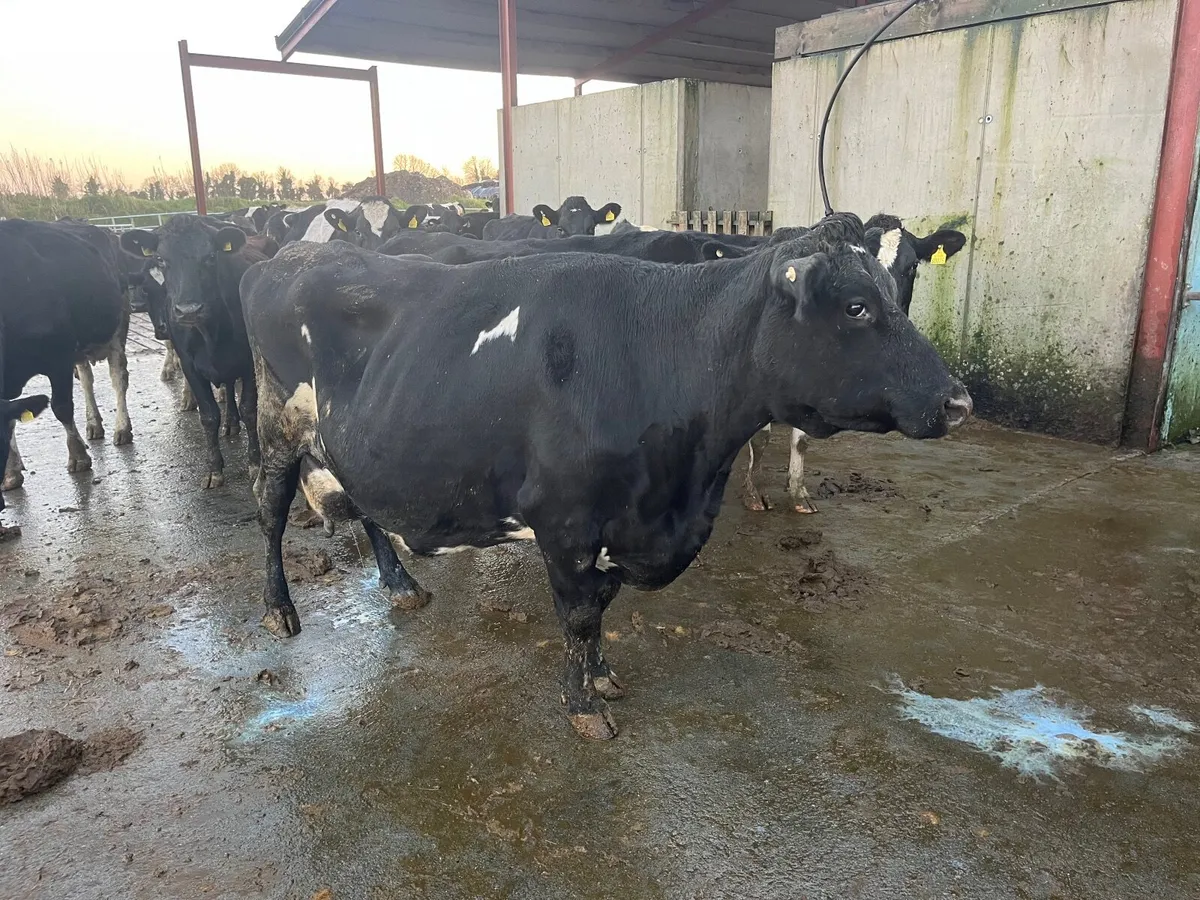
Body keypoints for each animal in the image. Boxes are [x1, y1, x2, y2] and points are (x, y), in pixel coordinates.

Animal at [1, 219, 127, 494]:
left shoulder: (58, 357)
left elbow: (61, 407)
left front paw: (78, 456)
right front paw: (11, 471)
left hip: (118, 324)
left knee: (118, 378)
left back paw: (122, 428)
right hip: (79, 351)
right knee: (88, 381)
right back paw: (94, 424)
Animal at [120, 217, 268, 488]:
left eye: (210, 256)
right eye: (161, 259)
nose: (188, 310)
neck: (210, 333)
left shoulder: (249, 363)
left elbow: (249, 410)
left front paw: (255, 463)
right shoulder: (190, 366)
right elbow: (208, 415)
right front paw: (214, 469)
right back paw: (230, 423)